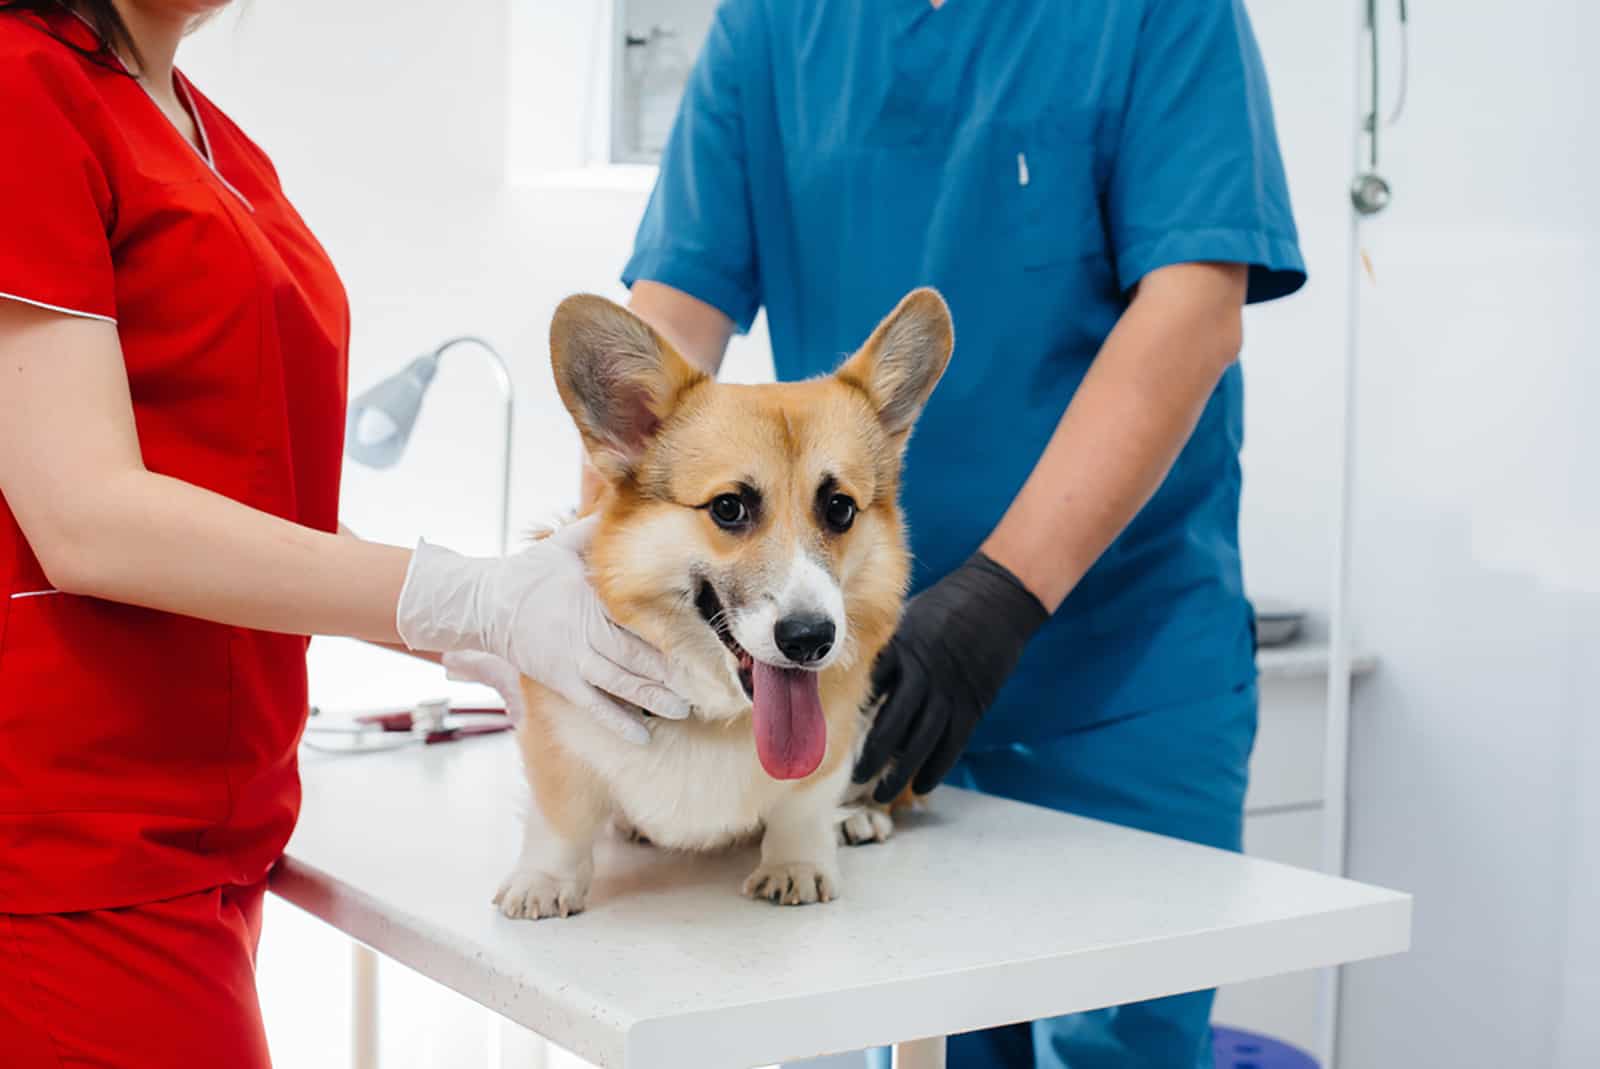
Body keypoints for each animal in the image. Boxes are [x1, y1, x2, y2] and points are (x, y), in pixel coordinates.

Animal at [496, 286, 947, 921]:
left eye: (840, 509)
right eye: (729, 508)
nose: (809, 639)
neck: (719, 717)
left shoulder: (831, 737)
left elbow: (804, 803)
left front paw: (796, 864)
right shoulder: (556, 732)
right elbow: (559, 817)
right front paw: (544, 880)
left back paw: (859, 815)